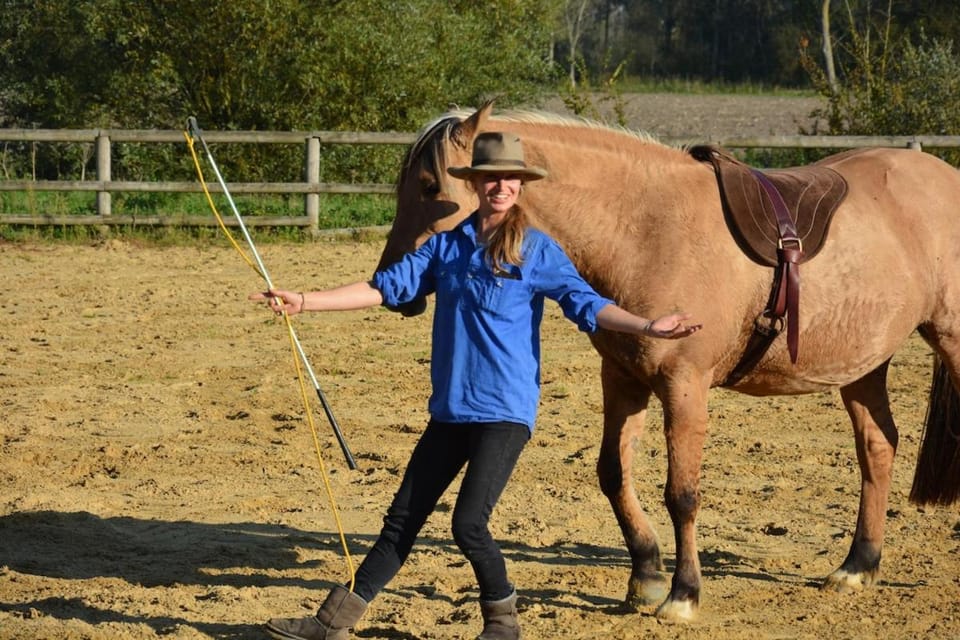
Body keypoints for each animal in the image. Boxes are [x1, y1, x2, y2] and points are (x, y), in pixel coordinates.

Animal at [374, 101, 960, 621]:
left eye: (429, 187)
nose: (395, 287)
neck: (646, 229)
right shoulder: (623, 379)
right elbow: (613, 473)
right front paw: (646, 576)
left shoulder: (684, 386)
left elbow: (682, 494)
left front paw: (683, 593)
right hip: (864, 365)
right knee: (878, 448)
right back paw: (859, 565)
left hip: (947, 341)